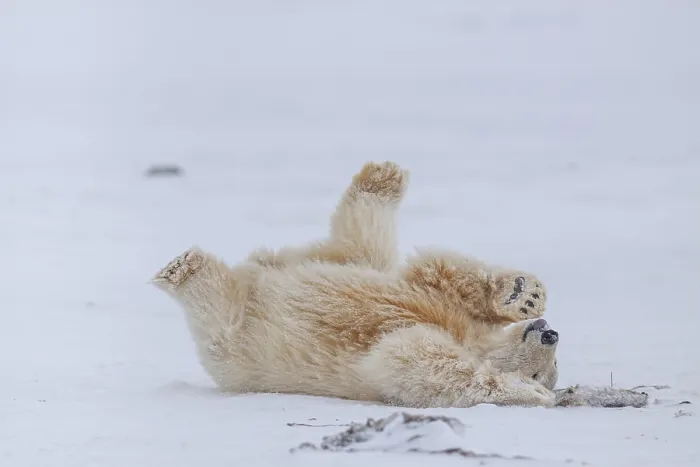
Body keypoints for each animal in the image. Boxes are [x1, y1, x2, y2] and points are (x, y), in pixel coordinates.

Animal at [152, 161, 559, 408]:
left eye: (542, 373)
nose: (550, 332)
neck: (472, 339)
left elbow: (413, 360)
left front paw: (528, 392)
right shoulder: (442, 302)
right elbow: (438, 272)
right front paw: (523, 295)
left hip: (237, 346)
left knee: (218, 304)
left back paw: (184, 269)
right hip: (339, 272)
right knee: (361, 248)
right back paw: (383, 178)